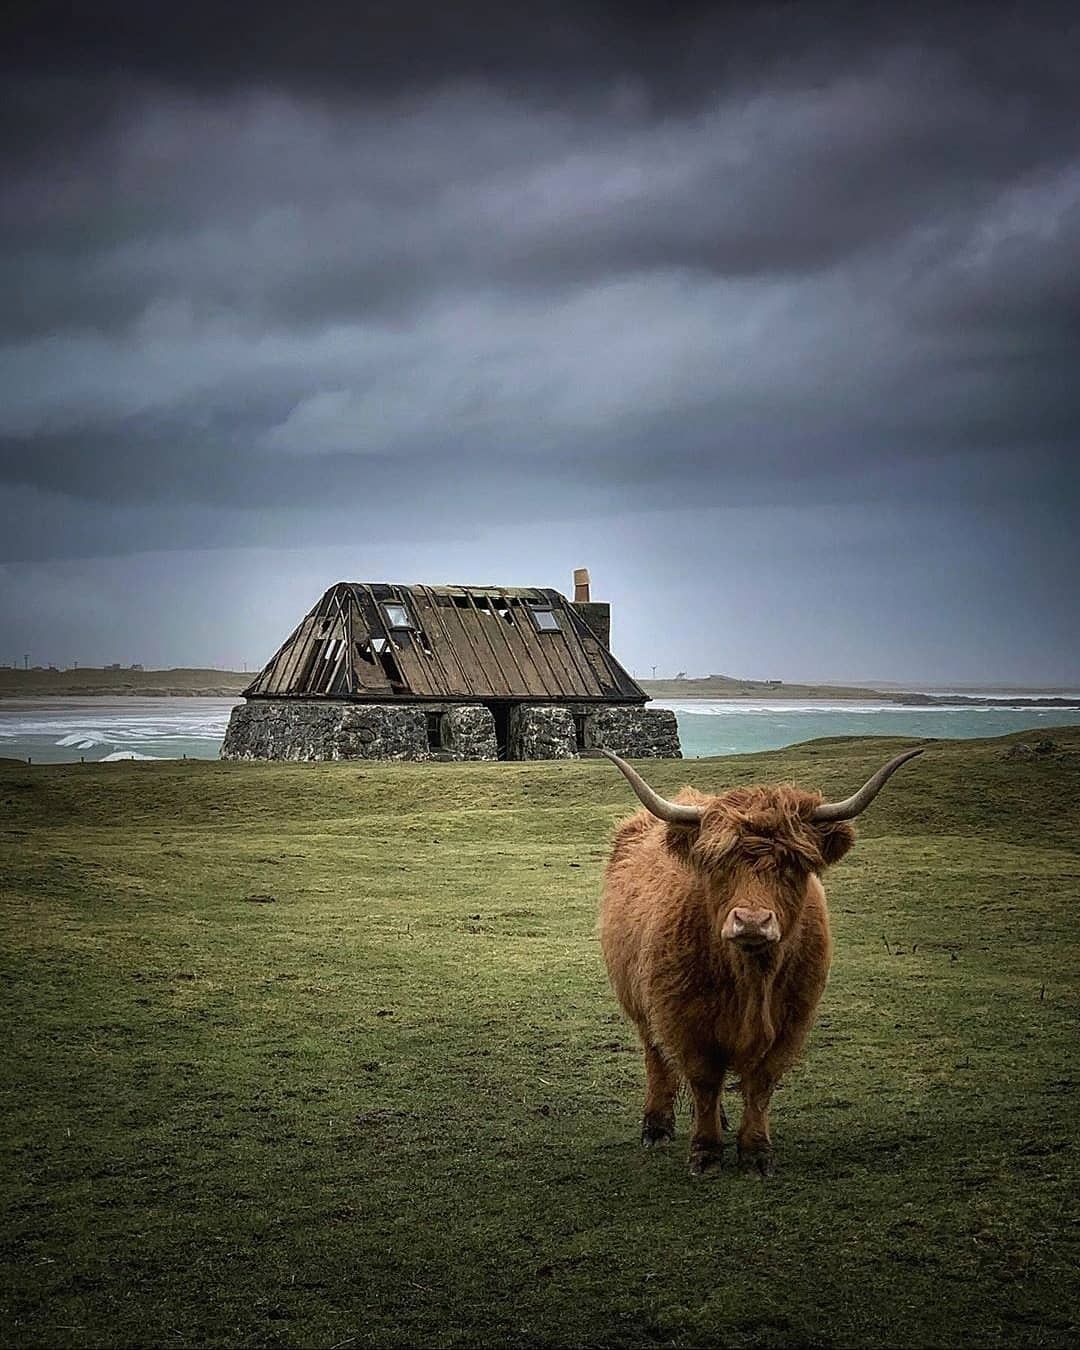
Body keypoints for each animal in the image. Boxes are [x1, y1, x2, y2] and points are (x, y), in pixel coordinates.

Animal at [599, 745, 918, 1177]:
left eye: (792, 864)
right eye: (718, 864)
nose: (751, 921)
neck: (751, 978)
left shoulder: (790, 1022)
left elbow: (761, 1084)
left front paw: (755, 1152)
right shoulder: (684, 1020)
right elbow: (703, 1081)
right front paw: (705, 1153)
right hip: (640, 1005)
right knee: (656, 1058)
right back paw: (657, 1127)